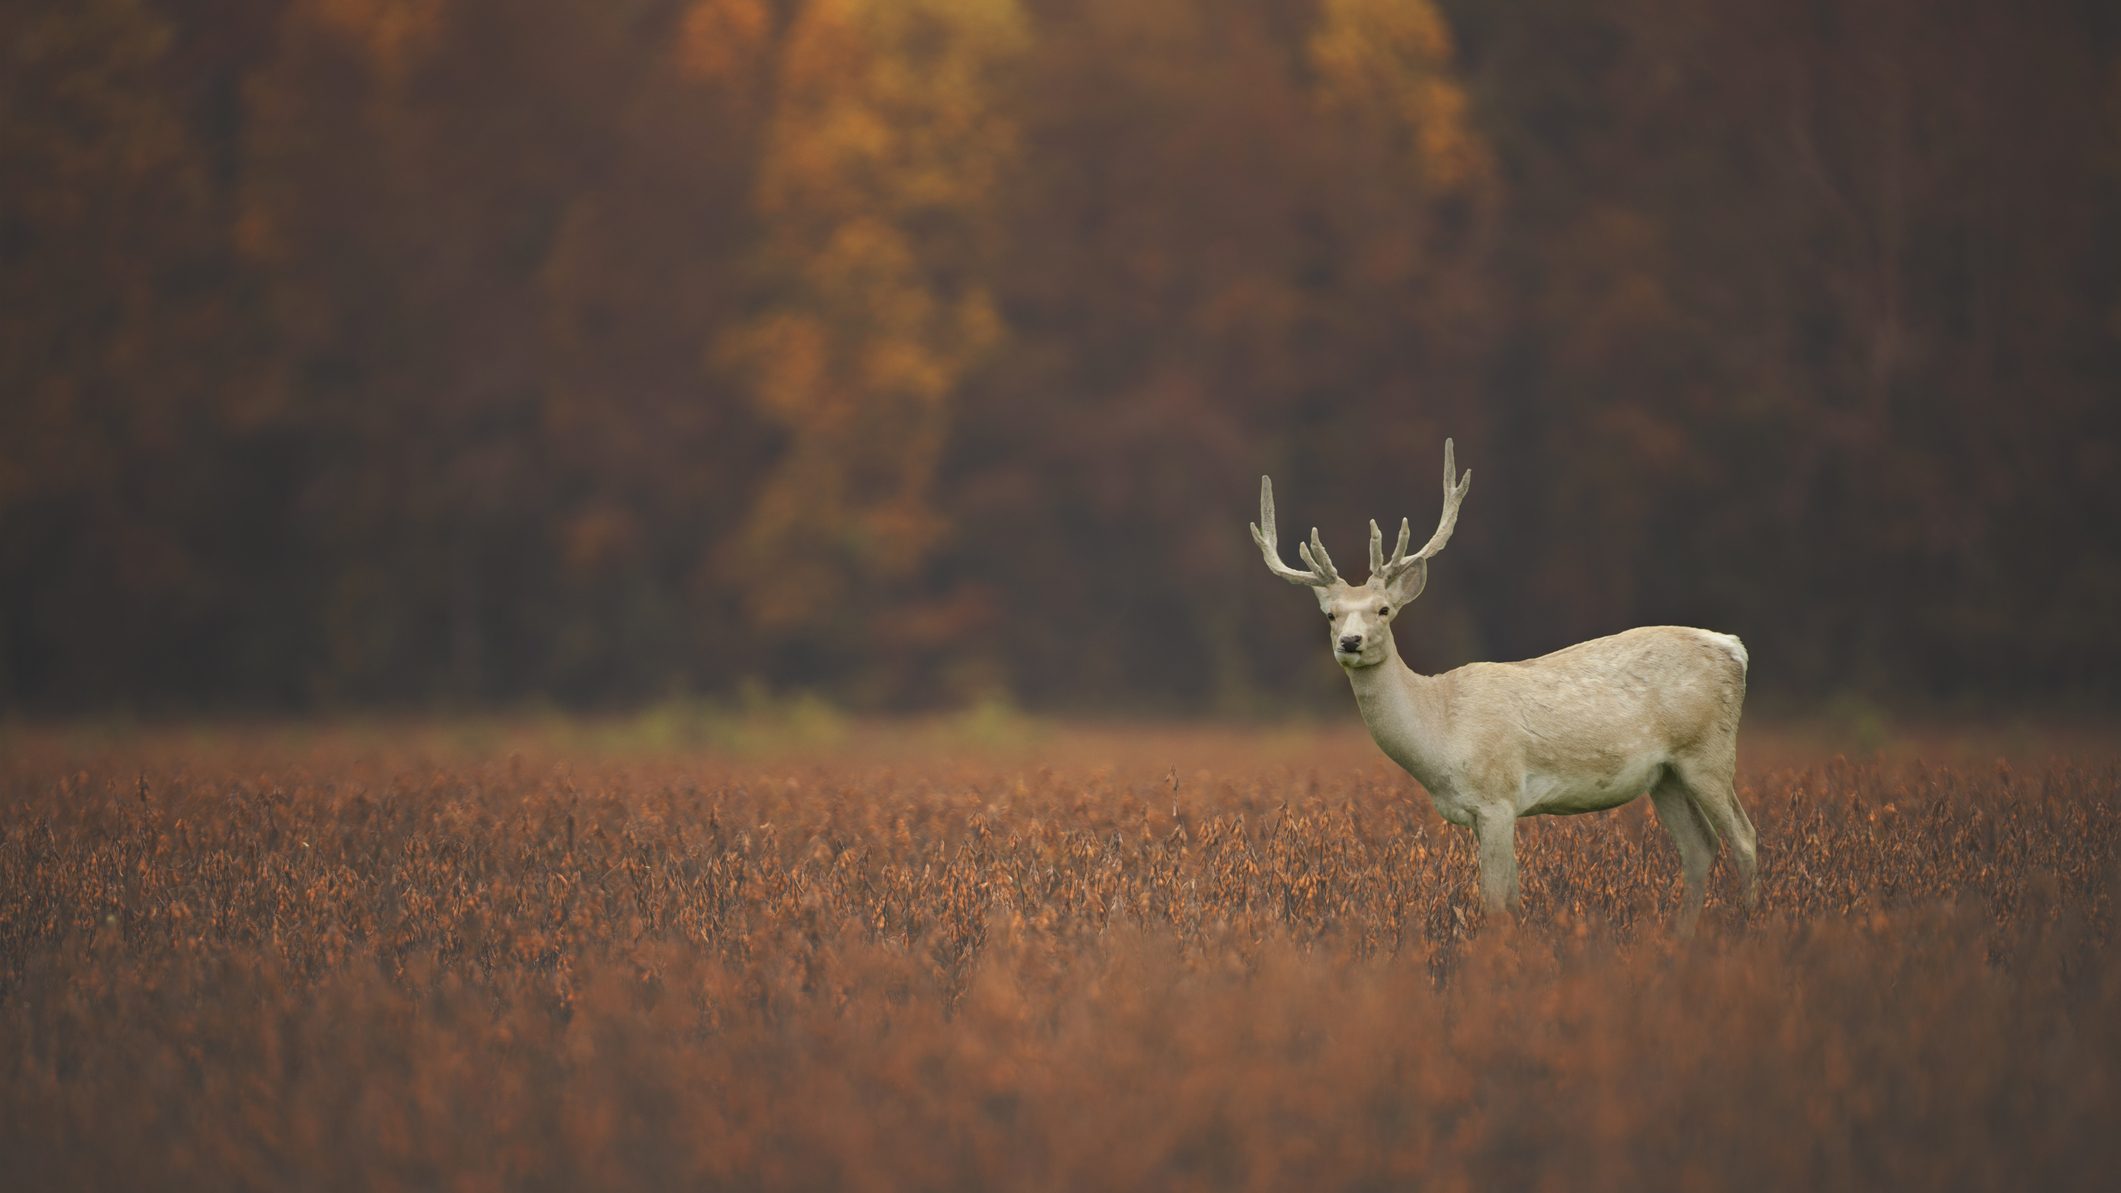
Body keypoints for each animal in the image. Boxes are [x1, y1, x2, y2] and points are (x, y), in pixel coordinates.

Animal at [1247, 437, 1764, 929]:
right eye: (1330, 615)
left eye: (1384, 610)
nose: (1350, 642)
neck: (1440, 731)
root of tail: (1734, 648)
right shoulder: (1481, 812)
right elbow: (1507, 898)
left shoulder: (1497, 797)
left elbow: (1497, 901)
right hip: (1665, 773)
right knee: (1699, 846)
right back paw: (1681, 936)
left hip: (1707, 752)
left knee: (1744, 836)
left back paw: (1748, 926)